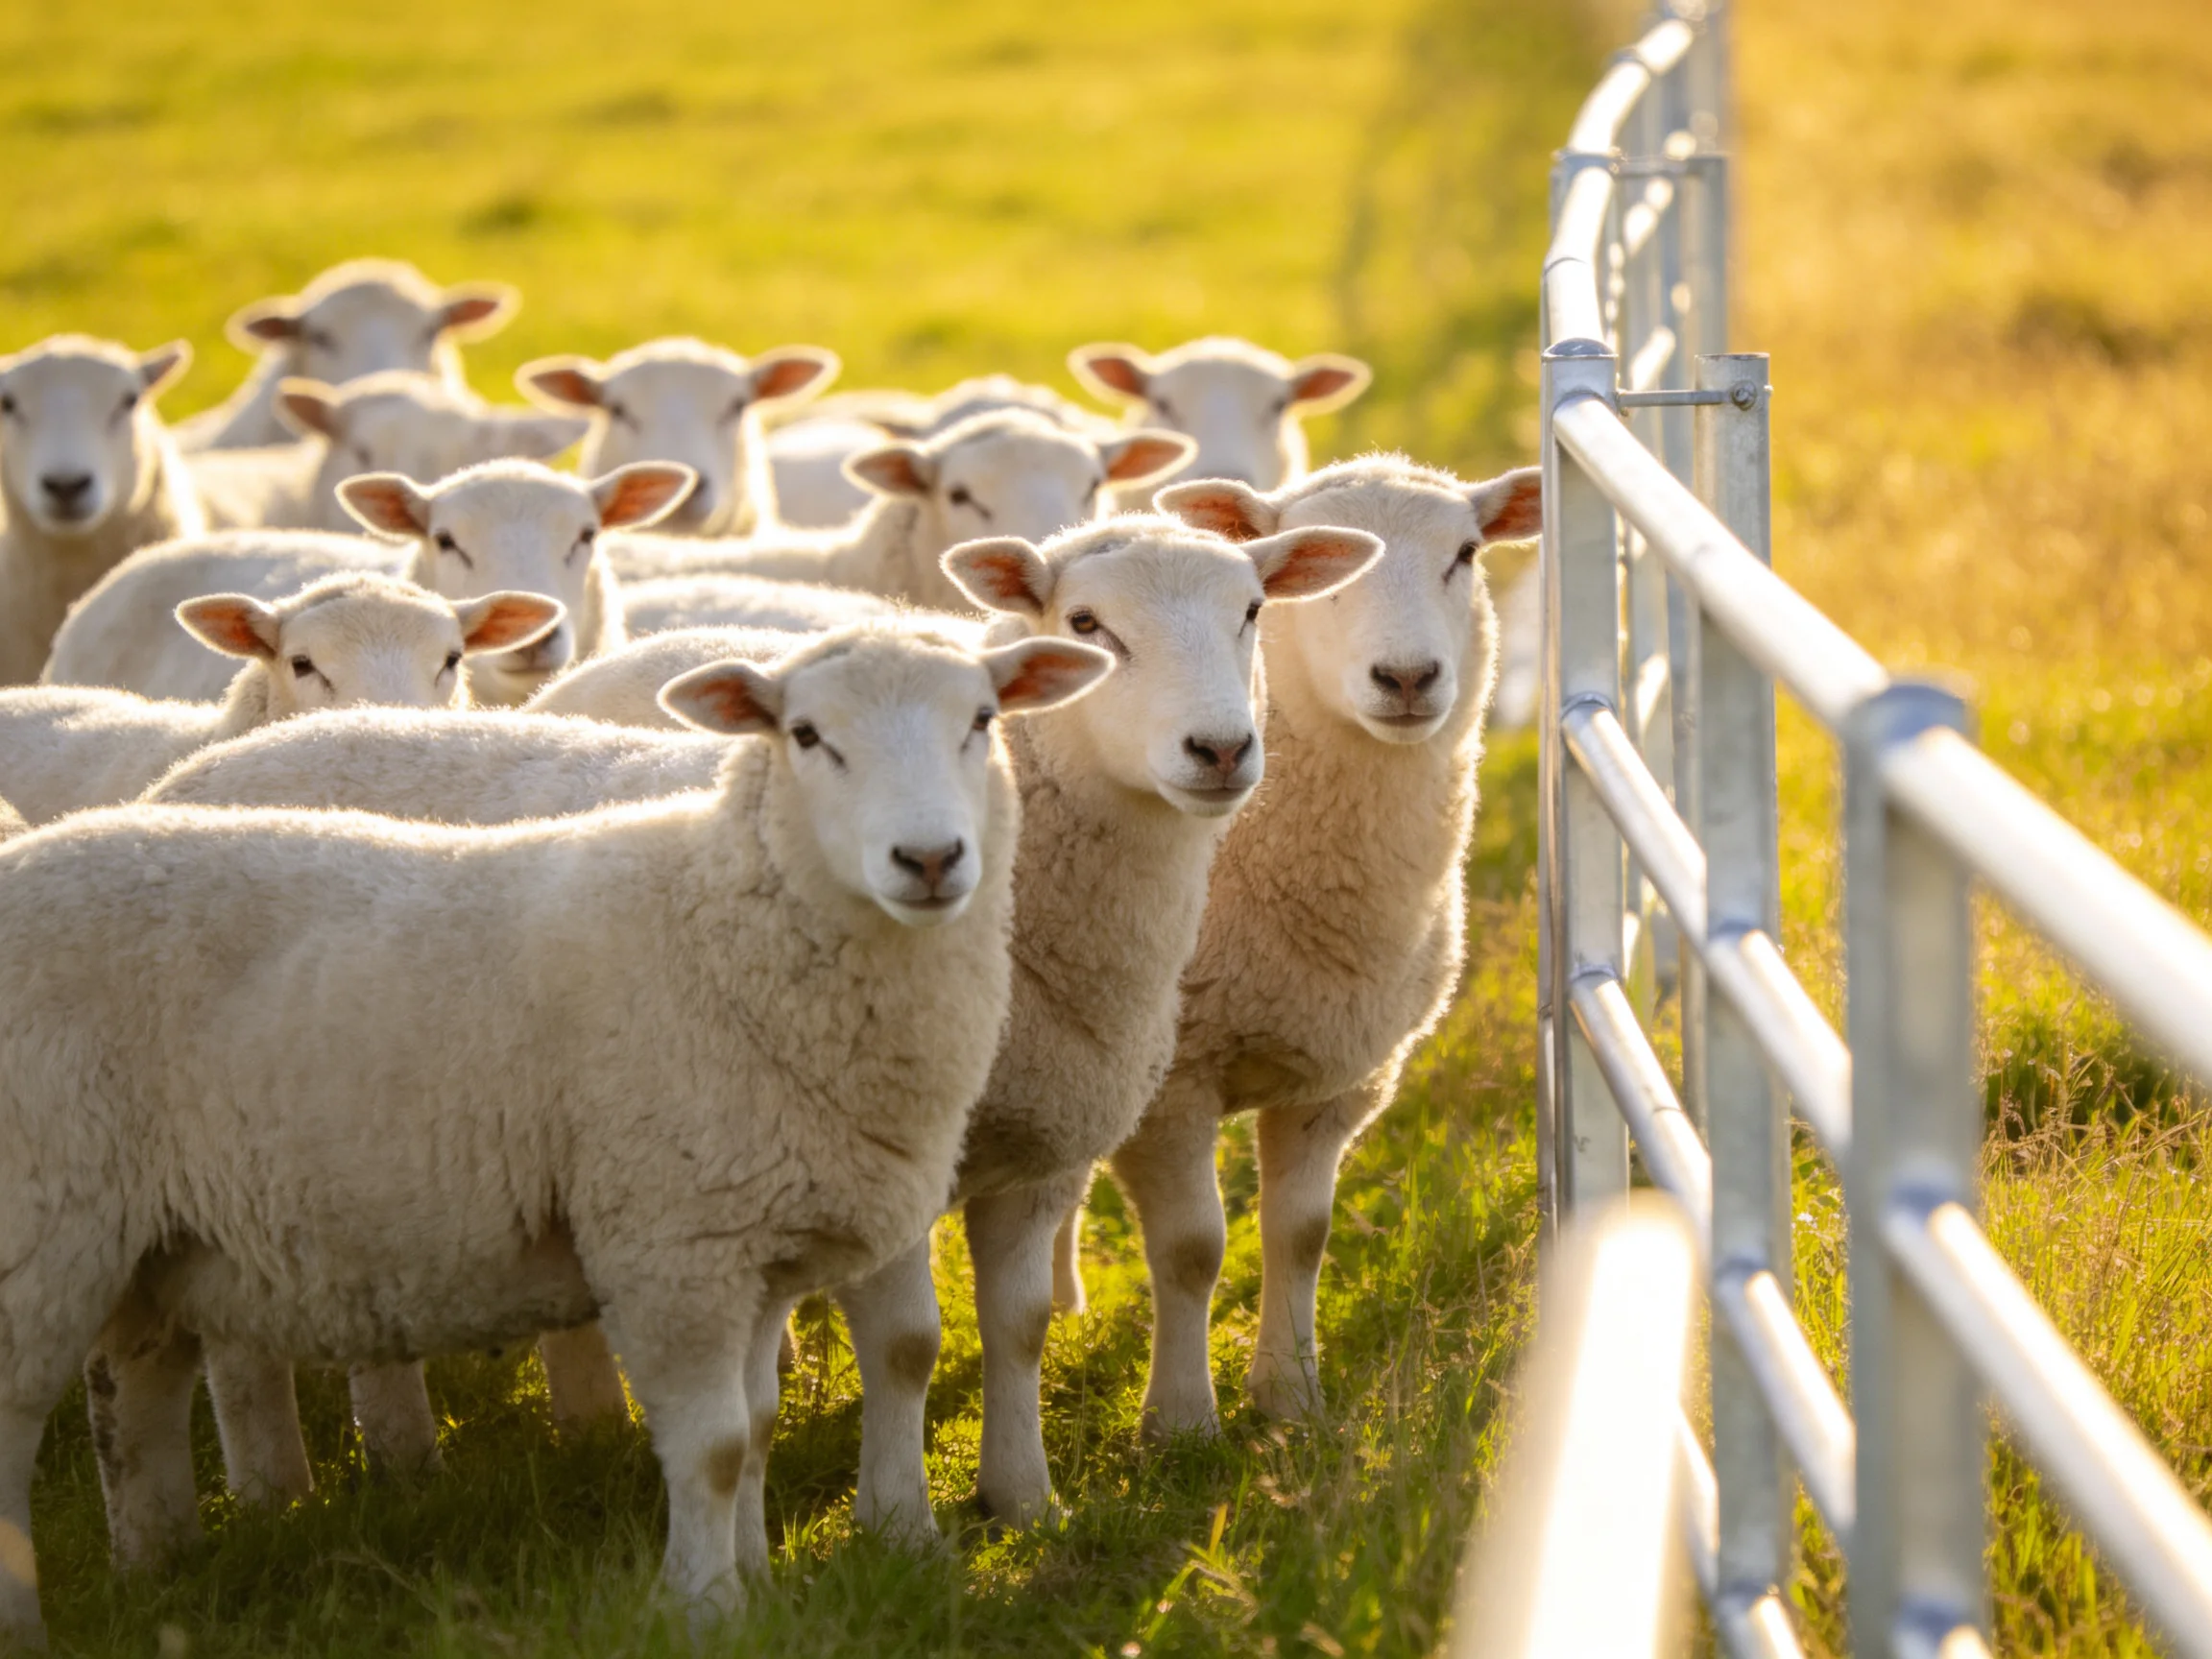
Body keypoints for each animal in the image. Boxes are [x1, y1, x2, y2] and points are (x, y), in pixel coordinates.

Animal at [0, 620, 1113, 1646]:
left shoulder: (758, 1242)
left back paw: (158, 1572)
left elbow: (755, 1428)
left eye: (982, 720)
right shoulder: (673, 1243)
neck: (720, 925)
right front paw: (704, 1608)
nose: (929, 858)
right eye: (805, 734)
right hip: (40, 1225)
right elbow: (713, 1445)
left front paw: (754, 1581)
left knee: (133, 1395)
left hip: (141, 1237)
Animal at [1088, 457, 1539, 1440]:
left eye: (1466, 552)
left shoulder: (1342, 1077)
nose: (1407, 677)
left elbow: (1300, 1235)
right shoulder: (1170, 1081)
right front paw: (1180, 1426)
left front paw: (1292, 1399)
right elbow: (1190, 1248)